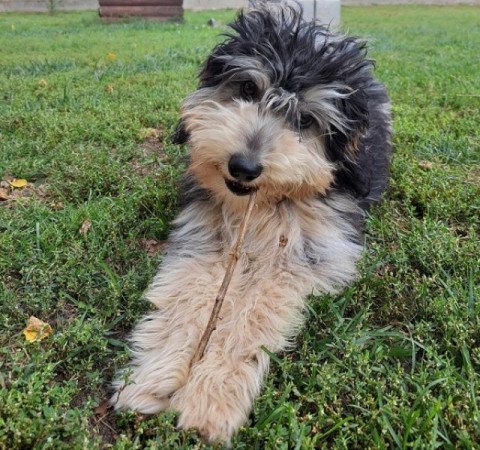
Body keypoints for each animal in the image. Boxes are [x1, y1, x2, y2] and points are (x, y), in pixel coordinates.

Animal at [110, 1, 392, 444]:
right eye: (247, 89)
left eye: (305, 121)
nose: (243, 167)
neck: (259, 206)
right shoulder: (204, 238)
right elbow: (189, 298)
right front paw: (152, 380)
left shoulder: (303, 255)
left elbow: (250, 310)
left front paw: (211, 397)